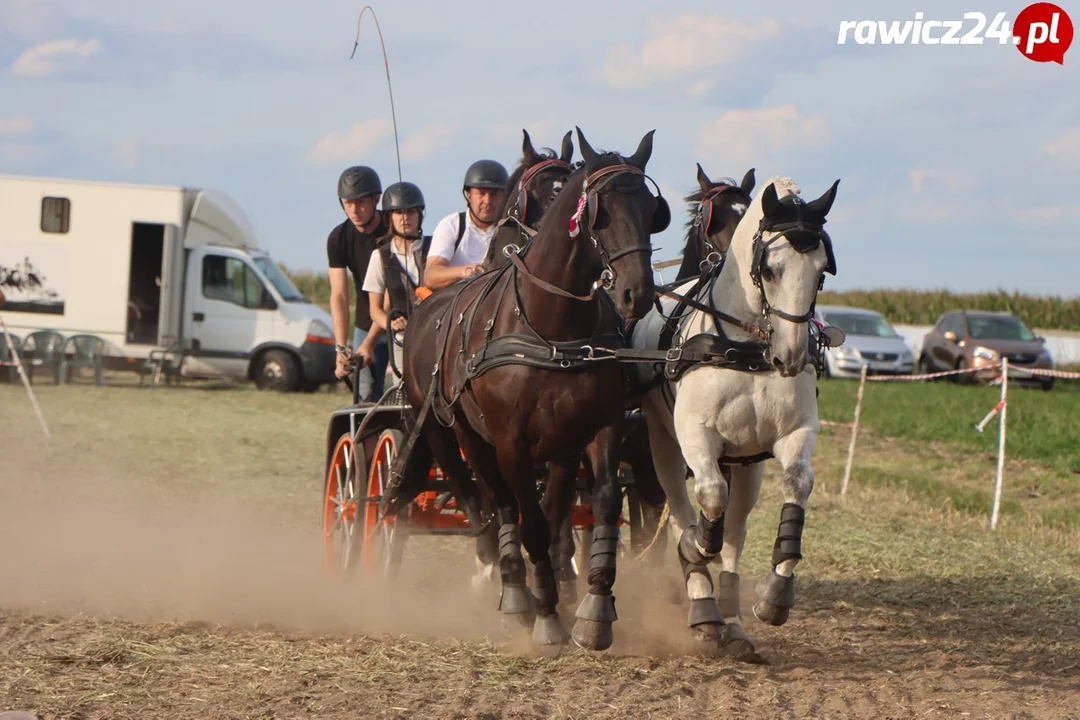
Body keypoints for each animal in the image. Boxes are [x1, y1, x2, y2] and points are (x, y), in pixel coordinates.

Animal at [397, 127, 665, 651]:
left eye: (651, 210)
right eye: (600, 210)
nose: (636, 293)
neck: (551, 329)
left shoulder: (594, 430)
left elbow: (598, 503)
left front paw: (594, 608)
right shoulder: (512, 445)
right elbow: (531, 522)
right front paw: (544, 615)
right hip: (450, 432)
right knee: (487, 500)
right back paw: (510, 584)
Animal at [630, 177, 838, 660]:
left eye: (821, 272)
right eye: (771, 269)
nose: (791, 357)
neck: (745, 349)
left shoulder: (794, 434)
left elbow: (796, 487)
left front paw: (775, 595)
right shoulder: (695, 437)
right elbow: (706, 503)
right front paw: (692, 551)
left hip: (746, 467)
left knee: (734, 533)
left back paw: (733, 623)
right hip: (662, 445)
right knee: (681, 507)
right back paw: (704, 606)